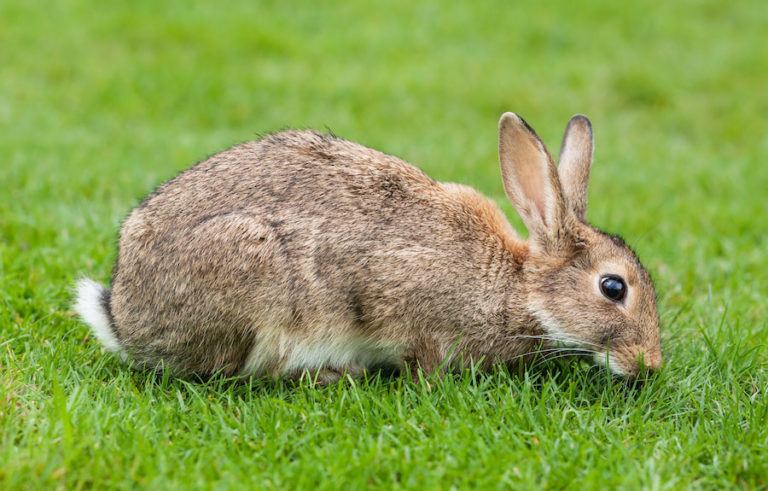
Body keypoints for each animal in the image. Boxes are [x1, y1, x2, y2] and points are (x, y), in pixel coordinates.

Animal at [76, 113, 660, 382]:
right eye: (613, 287)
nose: (649, 364)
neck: (519, 288)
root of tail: (123, 318)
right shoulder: (401, 297)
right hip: (252, 281)